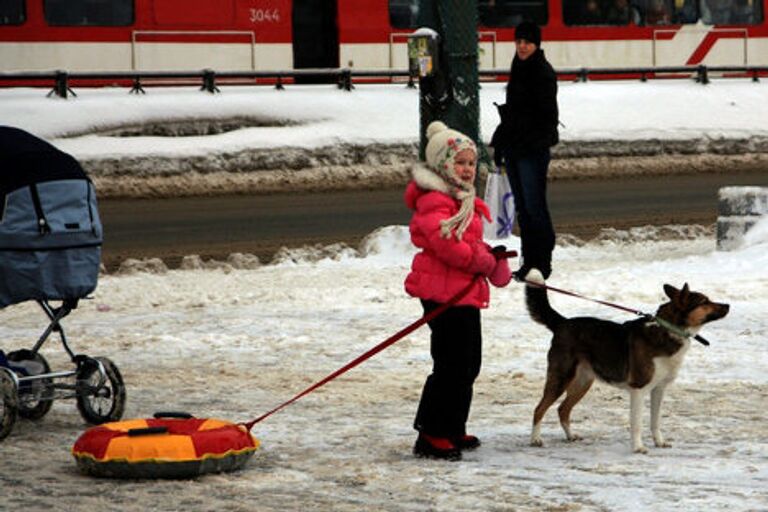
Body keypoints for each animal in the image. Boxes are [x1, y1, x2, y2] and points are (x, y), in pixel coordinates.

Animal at [524, 270, 728, 454]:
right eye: (704, 302)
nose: (728, 305)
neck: (668, 330)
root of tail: (562, 323)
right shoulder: (639, 389)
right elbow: (637, 423)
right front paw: (638, 447)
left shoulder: (659, 389)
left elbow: (655, 421)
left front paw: (659, 442)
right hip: (561, 379)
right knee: (539, 409)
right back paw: (535, 439)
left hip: (582, 382)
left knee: (562, 409)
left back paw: (570, 436)